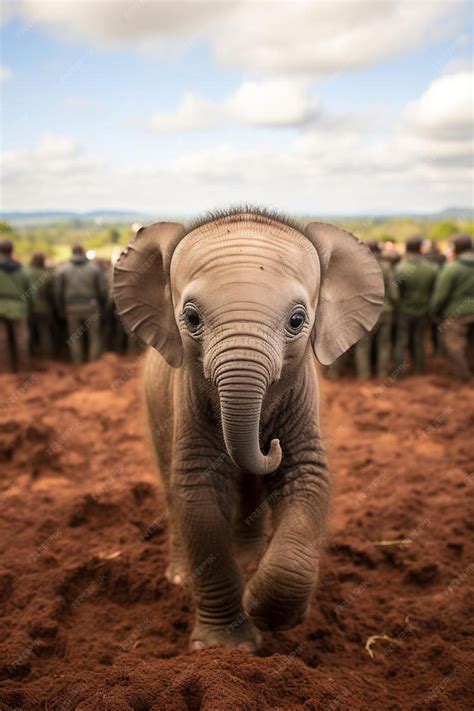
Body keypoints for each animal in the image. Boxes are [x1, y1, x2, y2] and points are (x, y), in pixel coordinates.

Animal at [113, 208, 384, 652]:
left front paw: (264, 604)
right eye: (191, 318)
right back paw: (180, 576)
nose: (268, 443)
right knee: (171, 485)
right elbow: (198, 497)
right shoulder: (188, 395)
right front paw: (226, 648)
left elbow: (307, 481)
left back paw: (250, 560)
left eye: (297, 320)